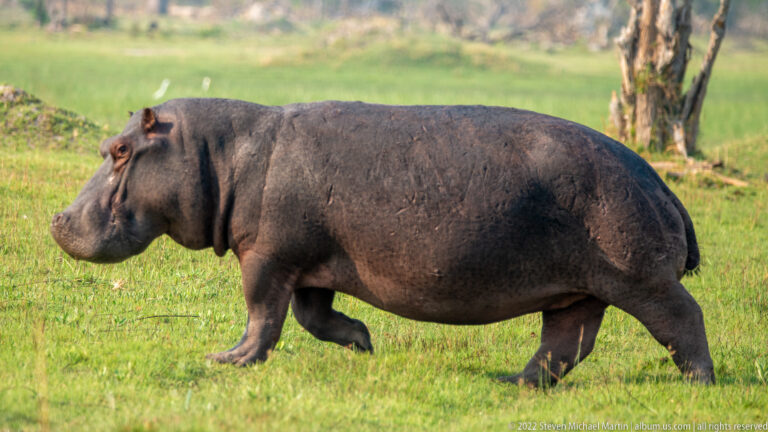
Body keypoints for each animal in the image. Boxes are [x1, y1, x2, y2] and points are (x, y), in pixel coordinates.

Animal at [51, 98, 714, 386]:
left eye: (120, 150)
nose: (57, 219)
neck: (222, 152)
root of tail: (657, 178)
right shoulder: (308, 265)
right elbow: (312, 316)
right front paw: (364, 343)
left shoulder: (266, 257)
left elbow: (261, 316)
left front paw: (227, 361)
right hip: (578, 289)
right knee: (566, 342)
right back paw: (513, 383)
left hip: (639, 277)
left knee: (682, 318)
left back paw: (698, 382)